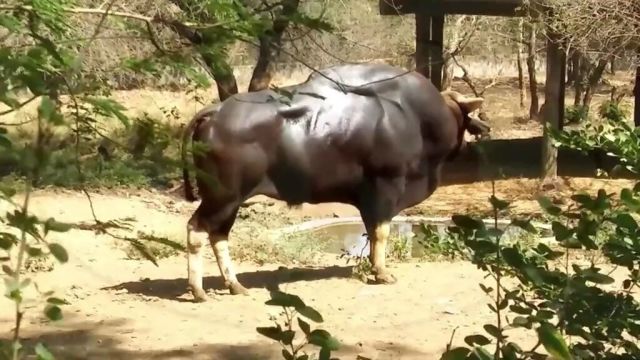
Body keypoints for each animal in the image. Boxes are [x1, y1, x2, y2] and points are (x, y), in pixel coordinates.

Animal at [180, 64, 490, 300]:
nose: (484, 128)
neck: (415, 117)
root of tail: (215, 112)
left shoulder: (367, 199)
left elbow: (370, 233)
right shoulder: (386, 187)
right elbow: (381, 233)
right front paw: (382, 272)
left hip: (231, 200)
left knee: (218, 234)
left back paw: (234, 285)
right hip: (223, 195)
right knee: (197, 228)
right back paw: (198, 290)